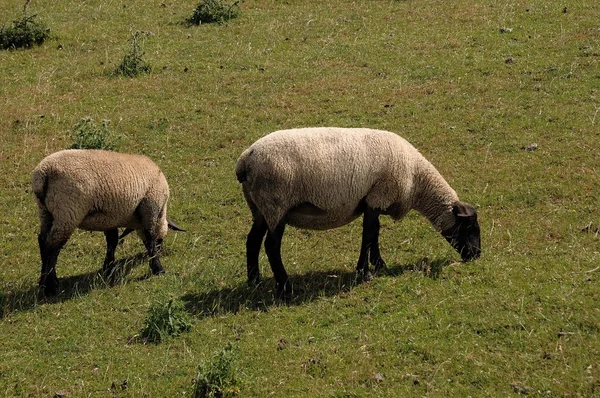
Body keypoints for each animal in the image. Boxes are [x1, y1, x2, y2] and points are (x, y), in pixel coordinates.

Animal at [32, 149, 183, 296]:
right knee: (52, 246)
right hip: (67, 212)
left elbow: (112, 241)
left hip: (46, 212)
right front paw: (158, 268)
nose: (161, 250)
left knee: (43, 241)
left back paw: (44, 282)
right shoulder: (150, 207)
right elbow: (150, 238)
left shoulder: (110, 218)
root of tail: (44, 172)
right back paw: (50, 287)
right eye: (161, 240)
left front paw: (108, 269)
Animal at [236, 126, 482, 296]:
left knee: (252, 241)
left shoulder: (374, 200)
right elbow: (369, 234)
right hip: (276, 204)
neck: (416, 179)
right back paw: (285, 287)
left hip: (260, 207)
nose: (477, 255)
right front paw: (365, 271)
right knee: (271, 246)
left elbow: (374, 234)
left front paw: (379, 264)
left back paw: (254, 281)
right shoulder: (378, 196)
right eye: (470, 227)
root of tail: (245, 160)